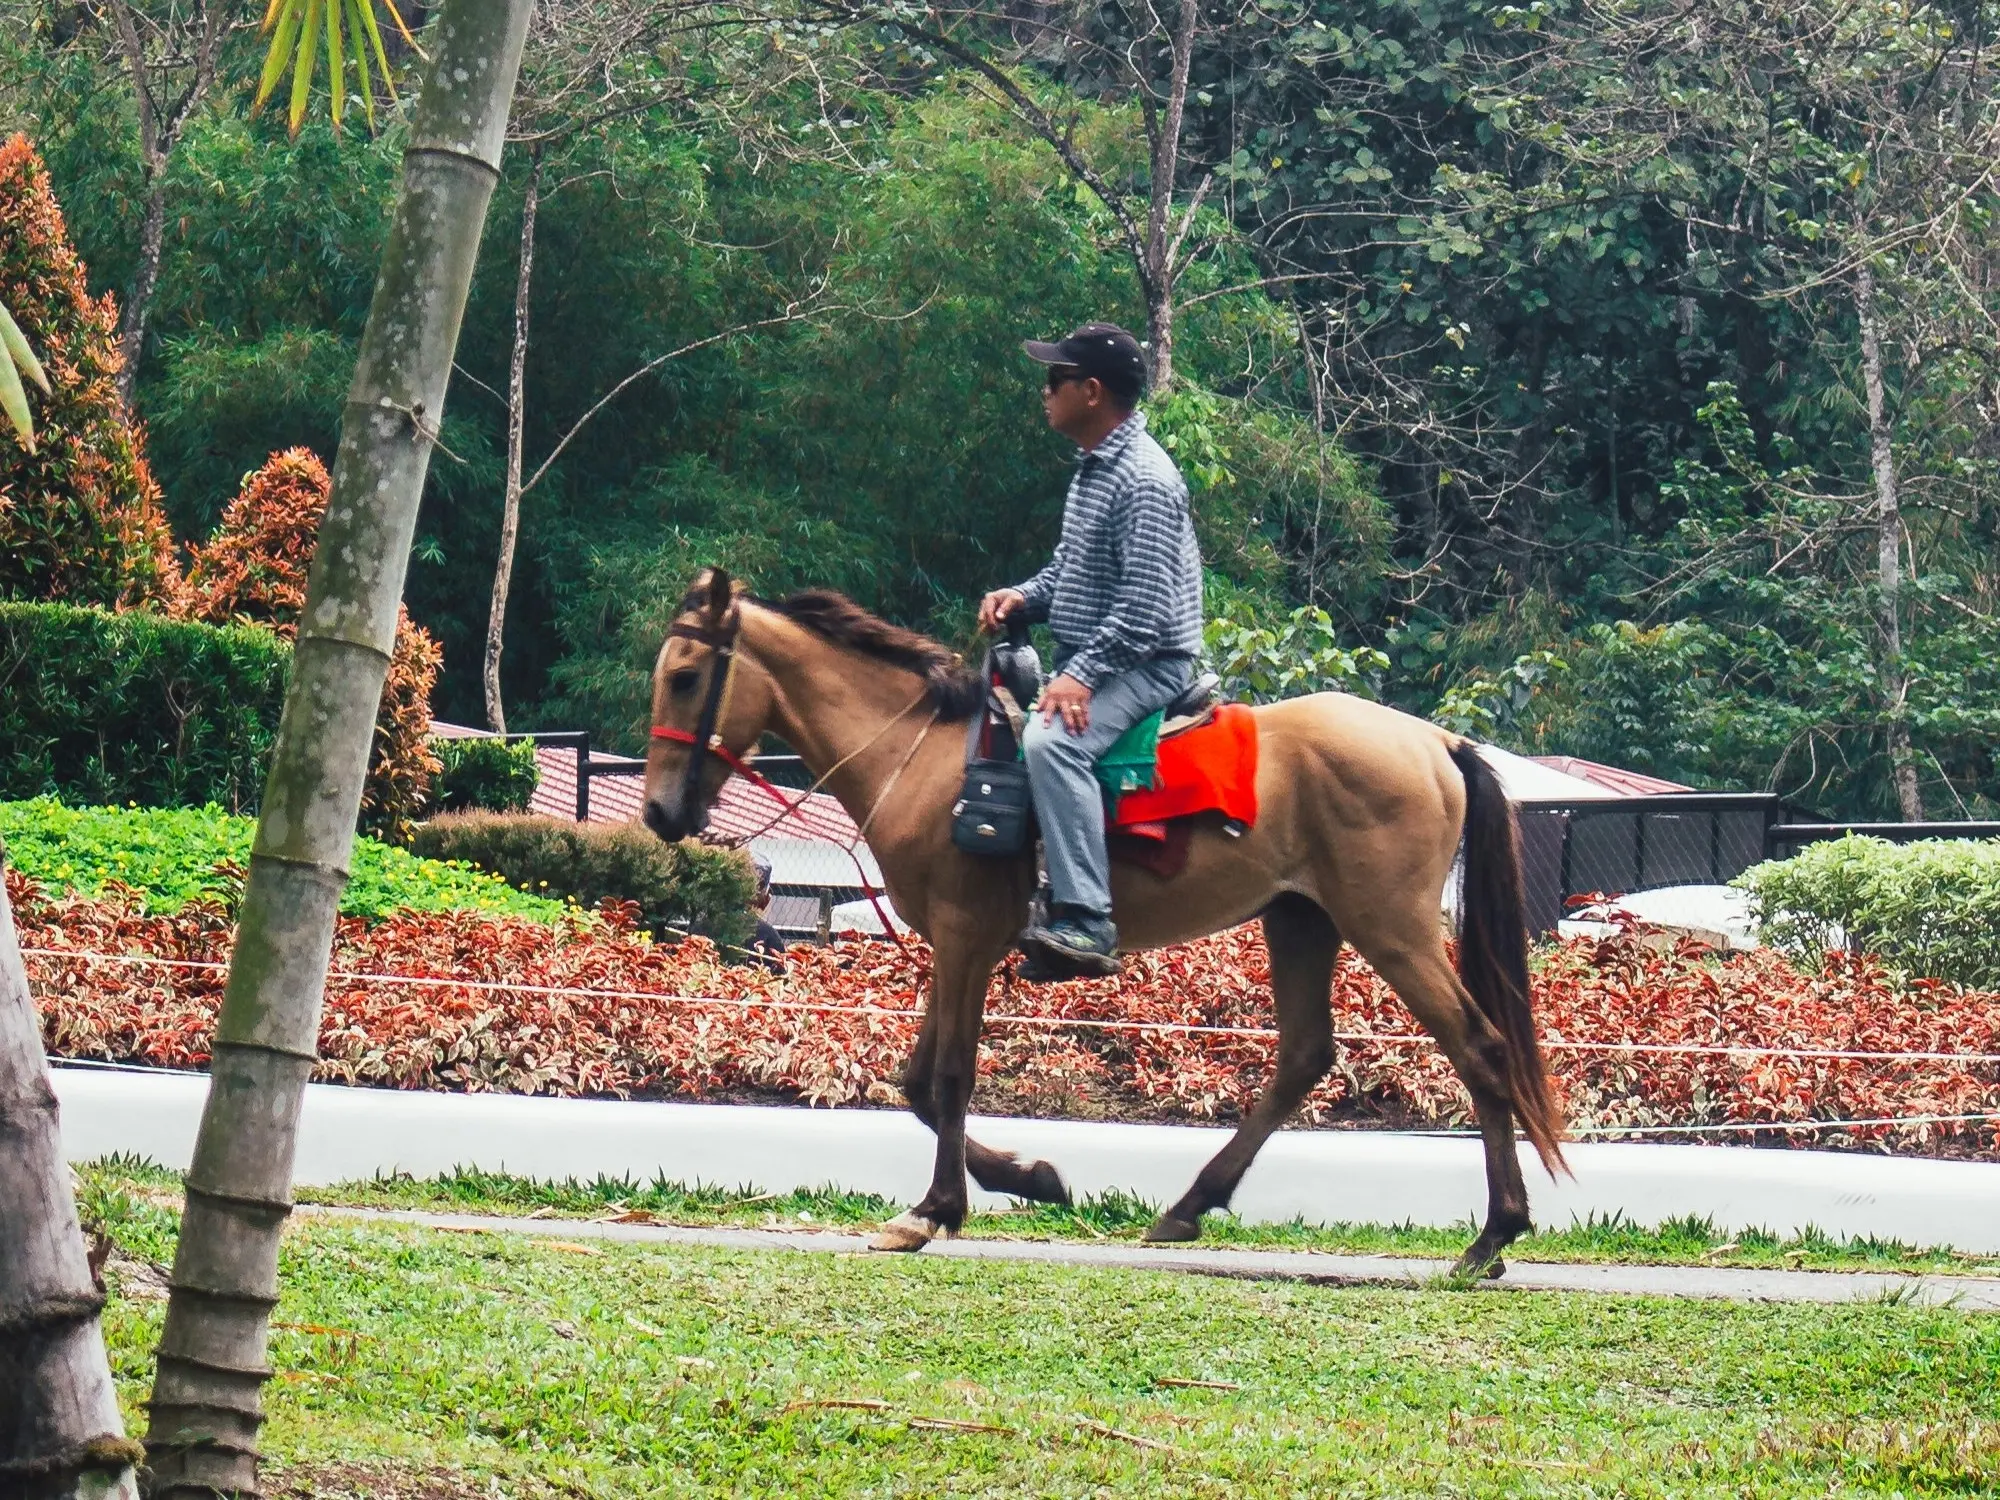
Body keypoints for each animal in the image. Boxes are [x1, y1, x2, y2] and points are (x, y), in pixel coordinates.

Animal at [648, 572, 1568, 1280]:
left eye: (686, 677)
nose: (660, 813)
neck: (929, 762)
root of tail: (1436, 742)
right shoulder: (953, 943)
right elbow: (916, 1084)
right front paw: (1032, 1178)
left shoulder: (966, 938)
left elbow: (949, 1077)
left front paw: (937, 1208)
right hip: (1302, 921)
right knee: (1306, 1055)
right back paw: (1192, 1205)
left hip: (1391, 928)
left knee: (1480, 1048)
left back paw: (1493, 1234)